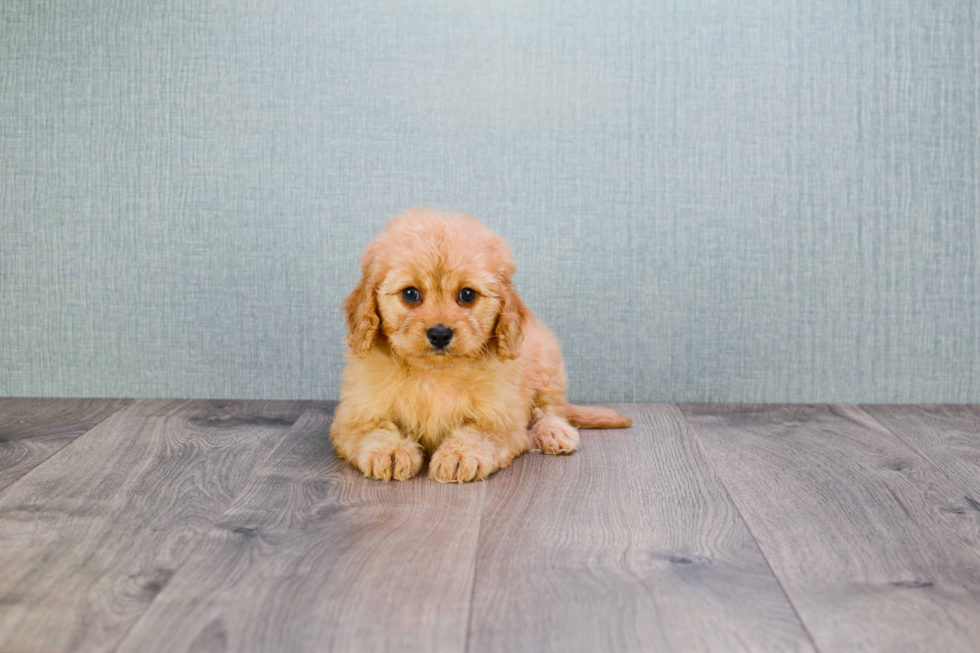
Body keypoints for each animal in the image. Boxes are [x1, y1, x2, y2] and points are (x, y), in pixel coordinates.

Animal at [334, 211, 632, 482]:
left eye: (467, 294)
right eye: (410, 293)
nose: (440, 334)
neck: (434, 373)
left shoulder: (502, 418)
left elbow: (478, 432)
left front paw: (459, 455)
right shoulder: (355, 415)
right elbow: (373, 431)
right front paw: (390, 451)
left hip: (547, 363)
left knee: (550, 408)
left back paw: (553, 432)